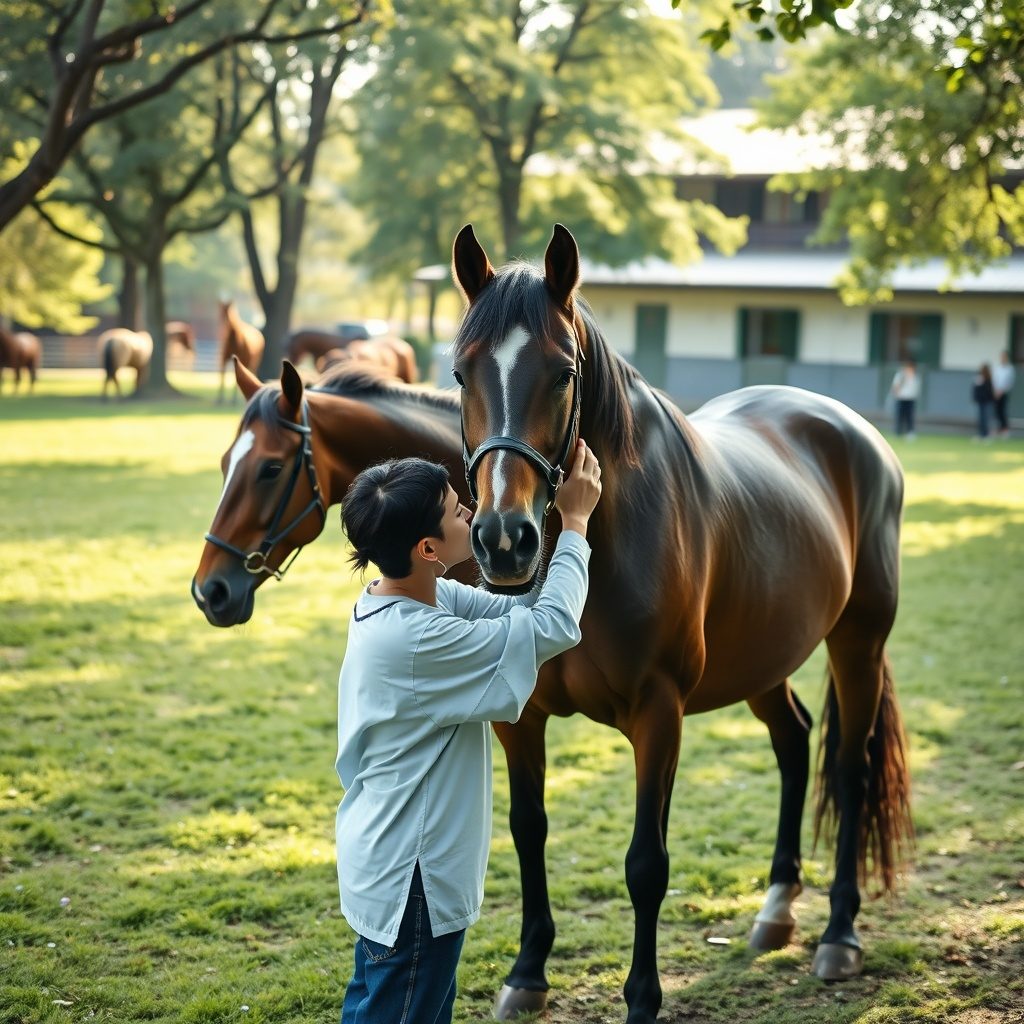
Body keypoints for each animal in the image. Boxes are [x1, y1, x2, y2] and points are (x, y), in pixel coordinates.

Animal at [443, 223, 912, 1022]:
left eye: (563, 373)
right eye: (459, 373)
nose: (505, 541)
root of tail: (858, 434)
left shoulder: (659, 713)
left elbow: (646, 864)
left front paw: (641, 998)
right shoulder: (521, 717)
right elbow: (529, 832)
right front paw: (527, 973)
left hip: (859, 644)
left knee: (848, 769)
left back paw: (839, 935)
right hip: (762, 655)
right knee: (794, 741)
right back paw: (776, 910)